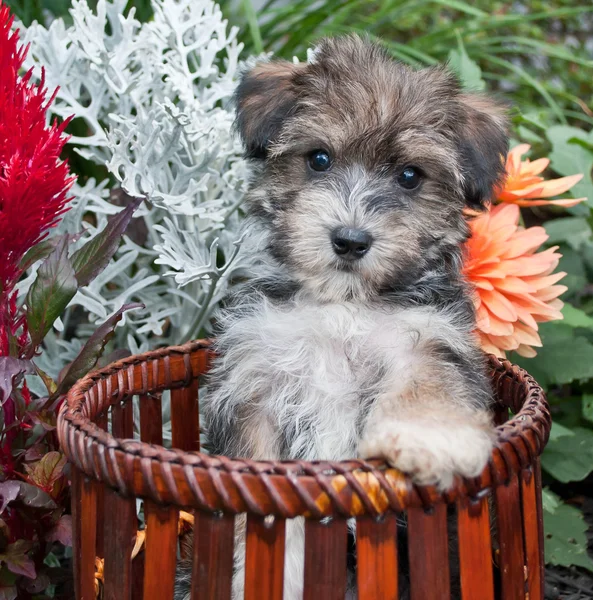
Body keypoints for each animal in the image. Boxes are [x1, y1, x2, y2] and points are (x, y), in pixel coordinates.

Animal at [173, 35, 506, 596]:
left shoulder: (431, 337)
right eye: (319, 159)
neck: (344, 306)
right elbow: (259, 499)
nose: (350, 240)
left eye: (410, 176)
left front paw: (429, 439)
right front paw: (261, 575)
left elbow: (430, 381)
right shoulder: (252, 383)